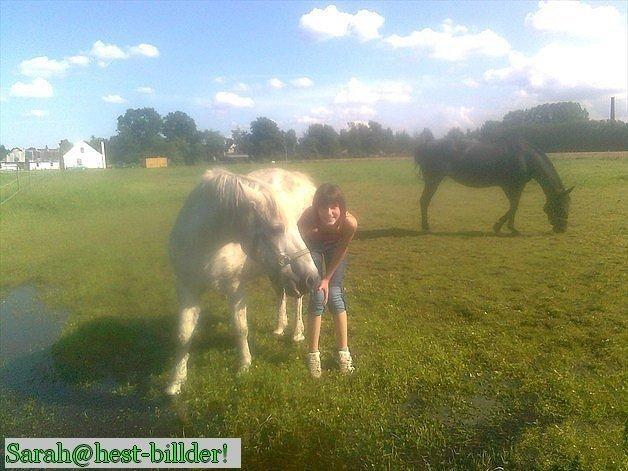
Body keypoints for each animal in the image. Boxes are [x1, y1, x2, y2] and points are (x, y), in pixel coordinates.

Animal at [167, 168, 318, 396]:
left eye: (296, 225)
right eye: (276, 228)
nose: (313, 278)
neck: (205, 243)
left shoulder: (235, 288)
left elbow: (240, 328)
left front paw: (244, 366)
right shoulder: (187, 289)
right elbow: (183, 335)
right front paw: (176, 381)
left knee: (297, 300)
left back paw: (297, 333)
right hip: (277, 272)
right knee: (281, 294)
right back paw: (279, 327)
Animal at [414, 137, 572, 235]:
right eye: (562, 206)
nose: (562, 229)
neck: (525, 157)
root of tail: (426, 144)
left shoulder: (515, 186)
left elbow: (513, 205)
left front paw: (503, 226)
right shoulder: (512, 186)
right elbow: (514, 205)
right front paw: (505, 227)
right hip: (433, 180)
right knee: (424, 201)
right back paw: (426, 226)